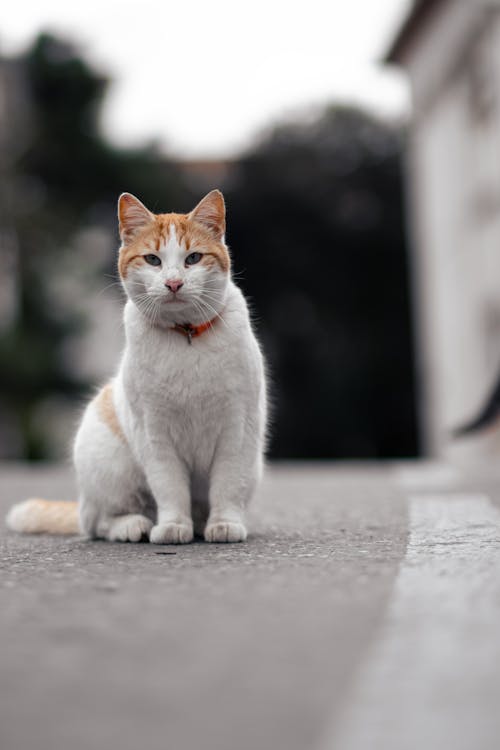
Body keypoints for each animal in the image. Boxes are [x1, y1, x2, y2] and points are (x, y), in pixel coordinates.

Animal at [5, 187, 268, 540]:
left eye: (193, 259)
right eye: (153, 260)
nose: (173, 283)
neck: (185, 335)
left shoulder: (236, 428)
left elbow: (227, 484)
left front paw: (224, 524)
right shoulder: (154, 432)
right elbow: (169, 486)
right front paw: (172, 525)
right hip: (112, 467)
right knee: (97, 521)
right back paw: (134, 525)